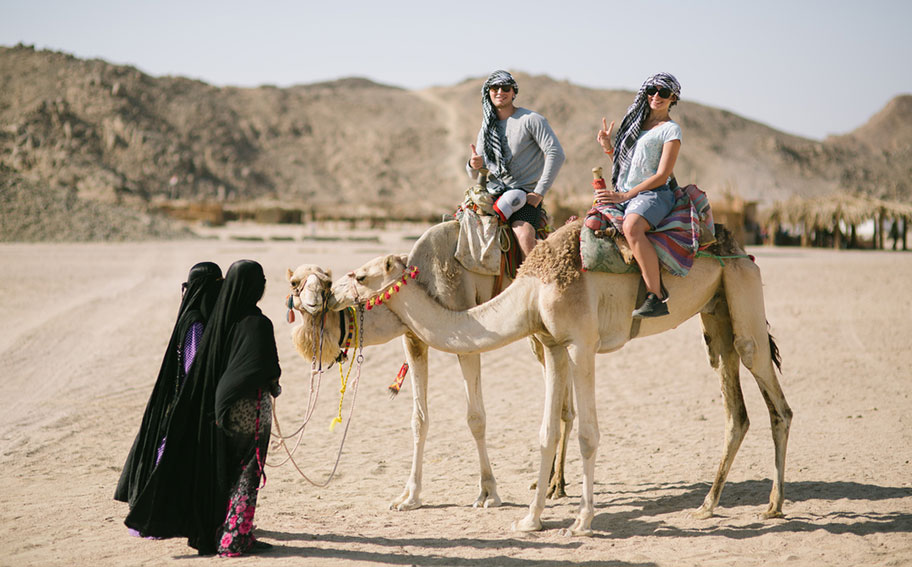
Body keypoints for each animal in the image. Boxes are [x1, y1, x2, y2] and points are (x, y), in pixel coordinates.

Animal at [288, 221, 556, 510]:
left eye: (325, 281)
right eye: (295, 283)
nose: (323, 298)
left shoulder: (466, 336)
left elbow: (476, 418)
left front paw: (488, 493)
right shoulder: (413, 339)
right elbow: (419, 418)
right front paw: (408, 497)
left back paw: (552, 485)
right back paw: (551, 484)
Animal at [332, 220, 796, 536]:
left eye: (361, 275)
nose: (329, 293)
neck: (531, 288)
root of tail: (742, 249)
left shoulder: (581, 344)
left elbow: (588, 433)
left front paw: (582, 522)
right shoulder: (552, 345)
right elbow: (547, 431)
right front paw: (530, 519)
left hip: (743, 292)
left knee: (774, 394)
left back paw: (773, 506)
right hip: (715, 312)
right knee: (735, 405)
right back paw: (708, 504)